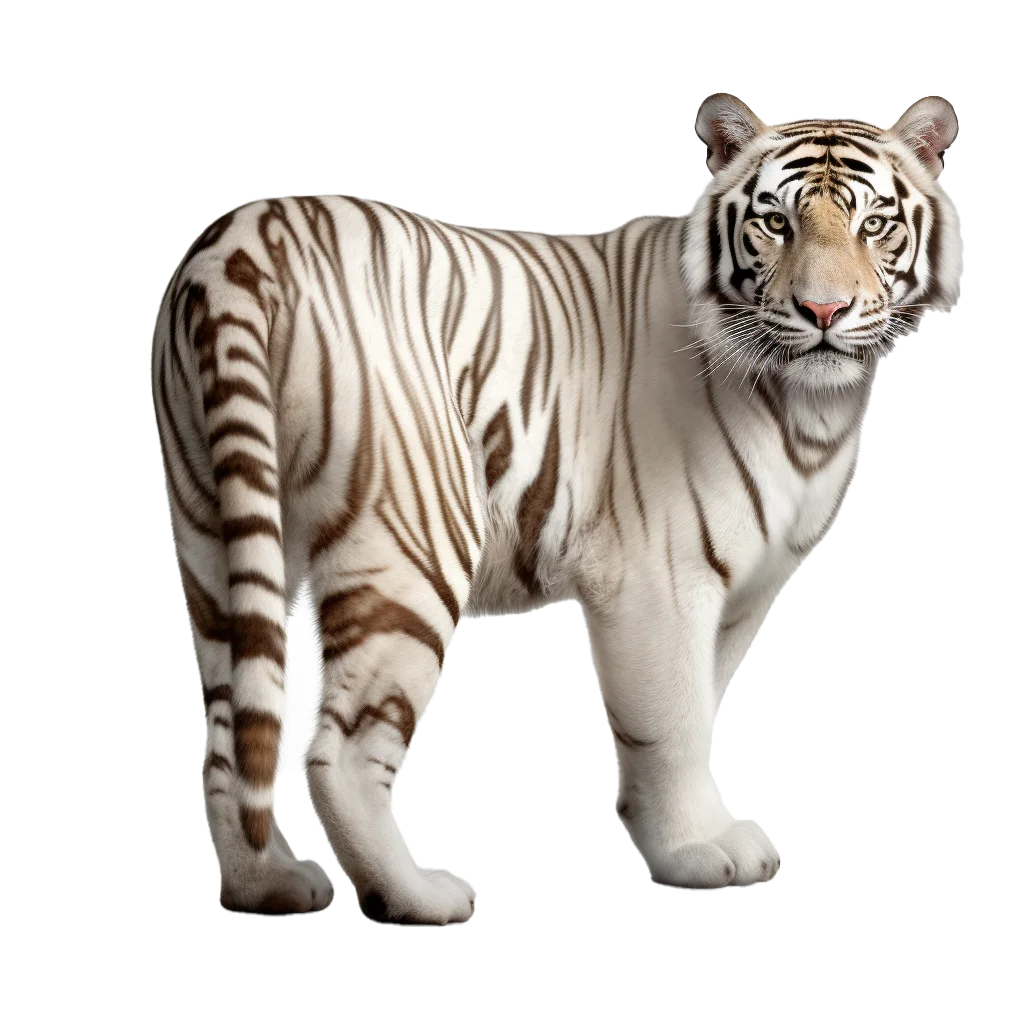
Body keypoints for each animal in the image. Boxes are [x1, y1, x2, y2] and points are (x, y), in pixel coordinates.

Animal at [152, 92, 963, 919]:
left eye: (874, 224)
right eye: (777, 223)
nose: (824, 310)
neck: (811, 406)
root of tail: (243, 241)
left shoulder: (738, 592)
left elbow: (695, 705)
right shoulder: (659, 577)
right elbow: (671, 723)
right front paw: (696, 853)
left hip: (216, 526)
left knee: (227, 734)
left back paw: (268, 884)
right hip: (415, 535)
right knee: (339, 750)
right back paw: (418, 895)